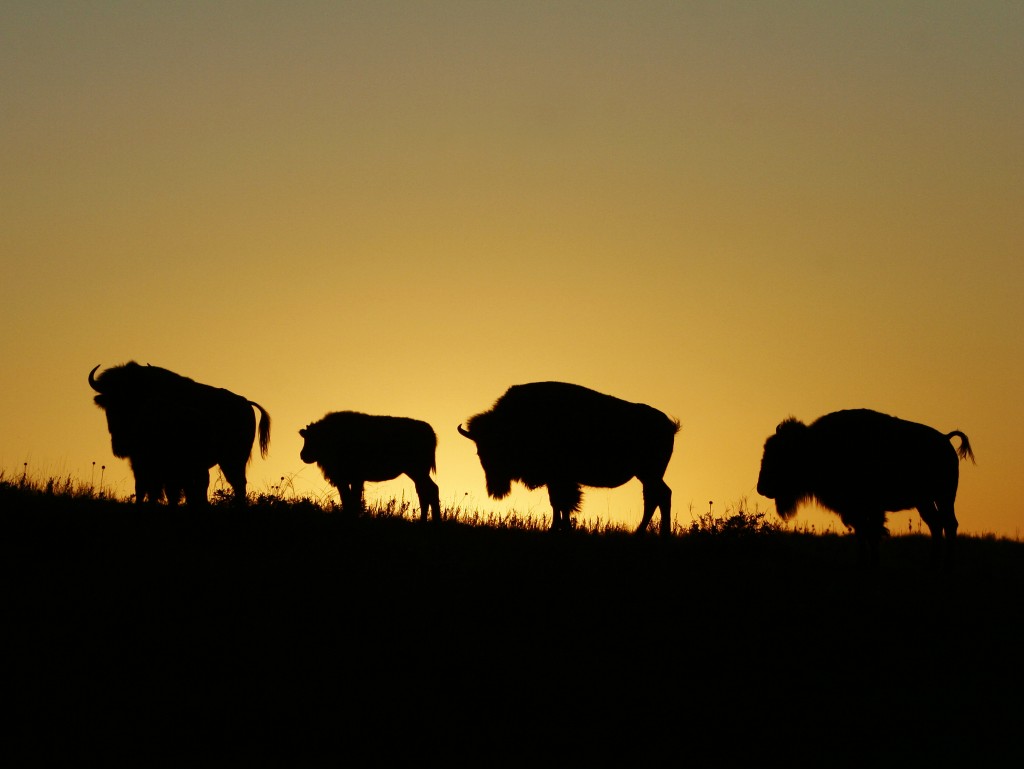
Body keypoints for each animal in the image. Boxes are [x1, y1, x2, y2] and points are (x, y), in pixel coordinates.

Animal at [88, 362, 270, 505]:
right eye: (110, 402)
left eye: (135, 399)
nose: (121, 443)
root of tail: (245, 403)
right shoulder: (141, 461)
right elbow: (144, 488)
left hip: (232, 459)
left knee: (237, 483)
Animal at [299, 409, 438, 524]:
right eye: (306, 438)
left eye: (314, 439)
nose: (303, 455)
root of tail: (430, 432)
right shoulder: (343, 480)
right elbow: (346, 498)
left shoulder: (355, 478)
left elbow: (354, 499)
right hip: (416, 473)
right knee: (426, 491)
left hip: (417, 471)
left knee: (430, 490)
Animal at [456, 380, 679, 536]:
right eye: (480, 452)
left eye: (500, 448)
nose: (495, 487)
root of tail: (669, 425)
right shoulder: (555, 479)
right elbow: (558, 503)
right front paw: (559, 528)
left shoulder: (560, 478)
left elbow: (562, 502)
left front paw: (558, 528)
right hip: (646, 475)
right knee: (656, 497)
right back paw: (647, 532)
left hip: (649, 473)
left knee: (660, 496)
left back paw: (656, 533)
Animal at [757, 409, 970, 565]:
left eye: (781, 453)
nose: (761, 487)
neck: (816, 446)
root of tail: (945, 439)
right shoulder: (855, 510)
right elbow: (863, 534)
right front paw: (862, 560)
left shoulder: (871, 509)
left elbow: (872, 534)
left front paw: (873, 561)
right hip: (924, 501)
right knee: (936, 524)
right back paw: (934, 560)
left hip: (944, 497)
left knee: (949, 524)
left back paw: (947, 562)